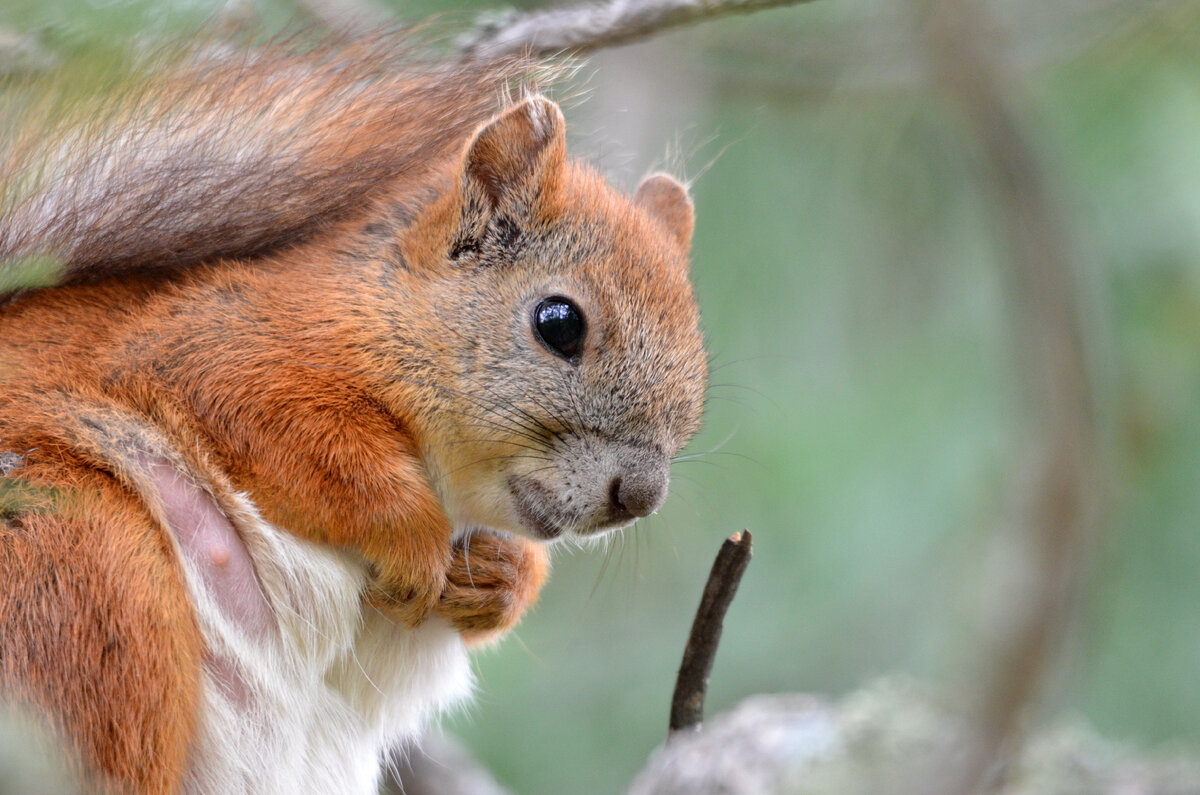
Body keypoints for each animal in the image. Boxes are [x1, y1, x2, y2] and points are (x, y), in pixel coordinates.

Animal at [0, 32, 705, 795]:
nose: (639, 495)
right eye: (558, 322)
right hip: (83, 566)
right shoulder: (214, 346)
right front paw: (414, 538)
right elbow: (302, 442)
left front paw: (503, 577)